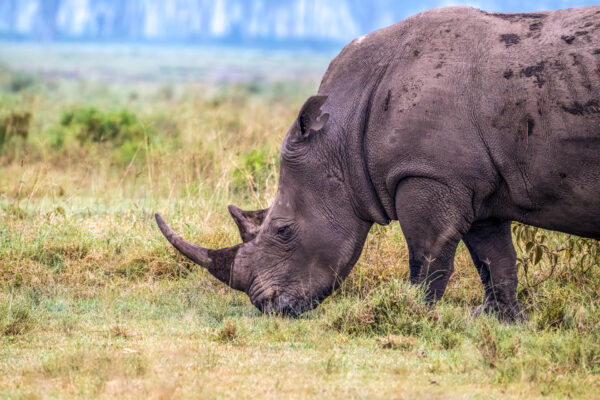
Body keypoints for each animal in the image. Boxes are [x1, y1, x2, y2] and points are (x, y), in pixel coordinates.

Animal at [157, 5, 600, 322]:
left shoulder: (428, 173)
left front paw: (413, 313)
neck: (343, 129)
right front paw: (501, 320)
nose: (267, 306)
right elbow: (494, 257)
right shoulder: (474, 181)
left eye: (283, 230)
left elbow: (428, 254)